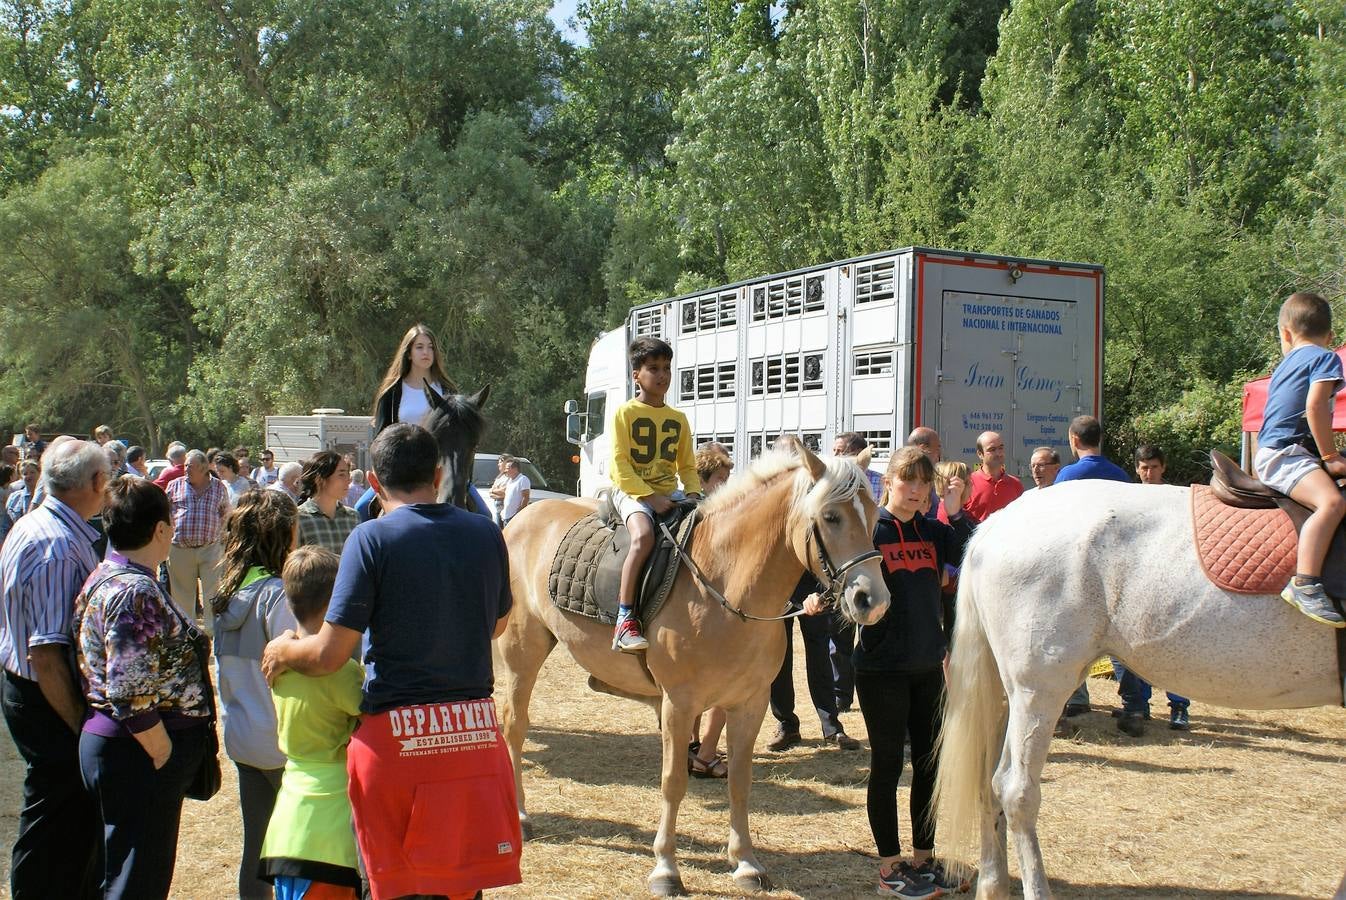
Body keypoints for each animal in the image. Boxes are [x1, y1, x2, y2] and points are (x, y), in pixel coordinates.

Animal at [500, 446, 888, 893]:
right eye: (831, 516)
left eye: (874, 515)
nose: (872, 599)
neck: (726, 586)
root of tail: (521, 519)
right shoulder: (679, 704)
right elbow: (673, 782)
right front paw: (666, 868)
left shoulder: (750, 703)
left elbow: (740, 780)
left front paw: (746, 862)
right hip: (522, 652)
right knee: (514, 727)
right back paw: (520, 817)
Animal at [931, 481, 1340, 893]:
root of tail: (996, 523)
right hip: (1039, 691)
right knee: (1016, 792)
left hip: (1012, 694)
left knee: (989, 782)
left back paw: (993, 885)